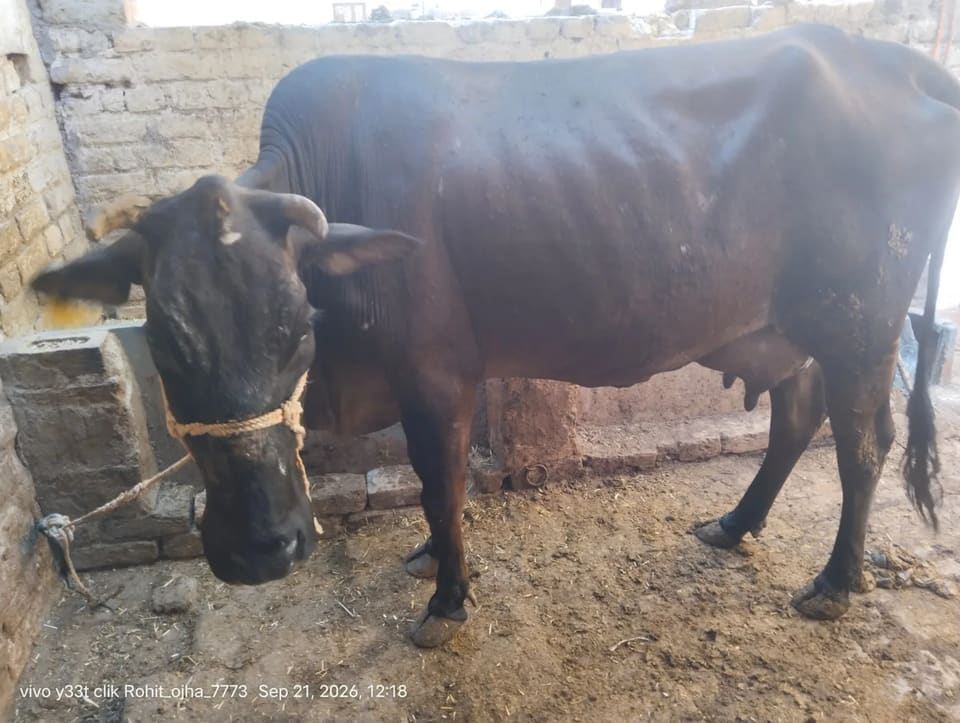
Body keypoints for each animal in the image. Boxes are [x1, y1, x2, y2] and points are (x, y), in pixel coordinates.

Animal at [32, 24, 960, 648]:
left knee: (863, 445)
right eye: (166, 342)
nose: (264, 549)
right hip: (783, 324)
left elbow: (441, 485)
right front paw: (427, 559)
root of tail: (889, 58)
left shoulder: (438, 373)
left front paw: (446, 600)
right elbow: (433, 492)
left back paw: (835, 582)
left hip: (861, 322)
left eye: (296, 327)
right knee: (797, 416)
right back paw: (735, 524)